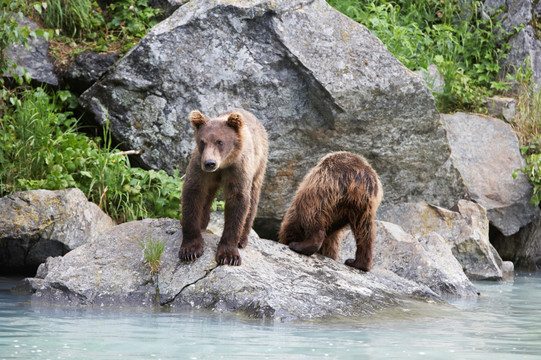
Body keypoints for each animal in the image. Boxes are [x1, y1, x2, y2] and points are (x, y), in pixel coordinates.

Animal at [179, 108, 268, 266]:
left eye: (219, 142)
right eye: (202, 142)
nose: (210, 163)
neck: (223, 165)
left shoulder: (238, 170)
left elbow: (238, 202)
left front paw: (229, 255)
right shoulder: (199, 168)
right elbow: (193, 193)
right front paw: (190, 250)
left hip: (259, 165)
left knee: (253, 200)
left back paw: (242, 239)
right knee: (207, 196)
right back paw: (202, 223)